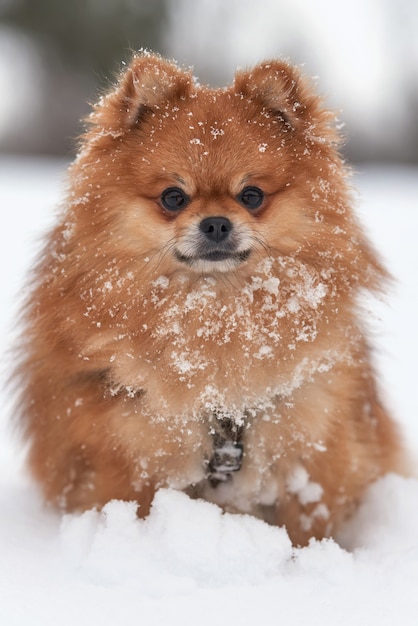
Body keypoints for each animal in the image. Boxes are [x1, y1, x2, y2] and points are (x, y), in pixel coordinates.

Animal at [15, 52, 404, 540]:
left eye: (252, 195)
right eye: (173, 197)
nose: (216, 223)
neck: (216, 313)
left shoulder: (310, 453)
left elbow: (306, 529)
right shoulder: (128, 457)